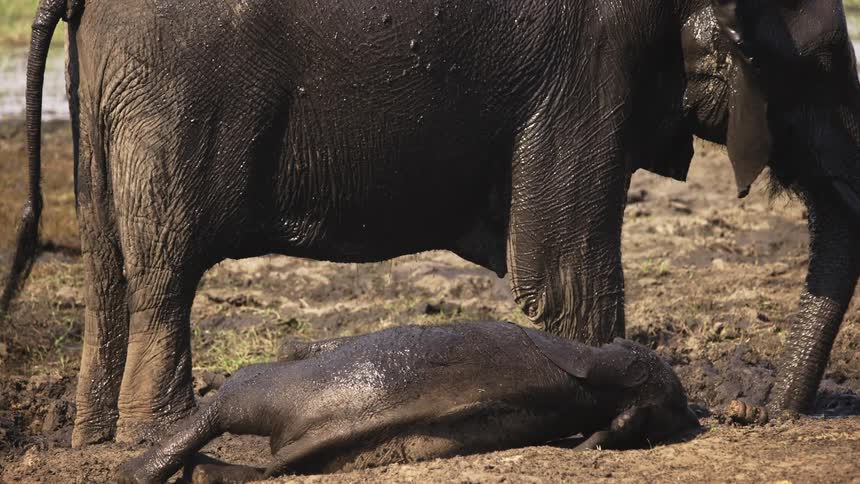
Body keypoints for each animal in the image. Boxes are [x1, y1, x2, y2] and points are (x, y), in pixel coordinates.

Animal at [1, 0, 857, 447]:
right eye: (821, 64)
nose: (763, 412)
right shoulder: (591, 60)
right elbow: (564, 269)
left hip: (108, 92)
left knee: (109, 270)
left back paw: (94, 442)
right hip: (177, 91)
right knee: (165, 270)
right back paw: (155, 437)